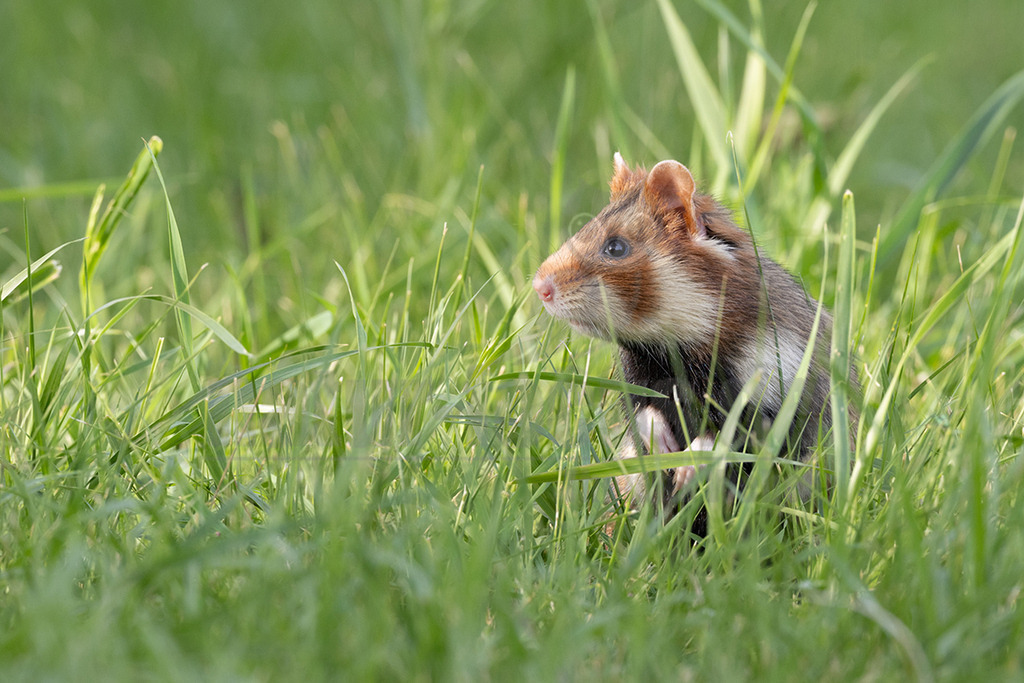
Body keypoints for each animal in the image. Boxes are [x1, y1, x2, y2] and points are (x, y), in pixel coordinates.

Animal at [533, 154, 851, 531]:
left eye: (616, 247)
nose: (539, 287)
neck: (678, 349)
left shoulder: (770, 396)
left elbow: (726, 435)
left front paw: (685, 470)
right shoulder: (638, 380)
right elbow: (644, 412)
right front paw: (665, 452)